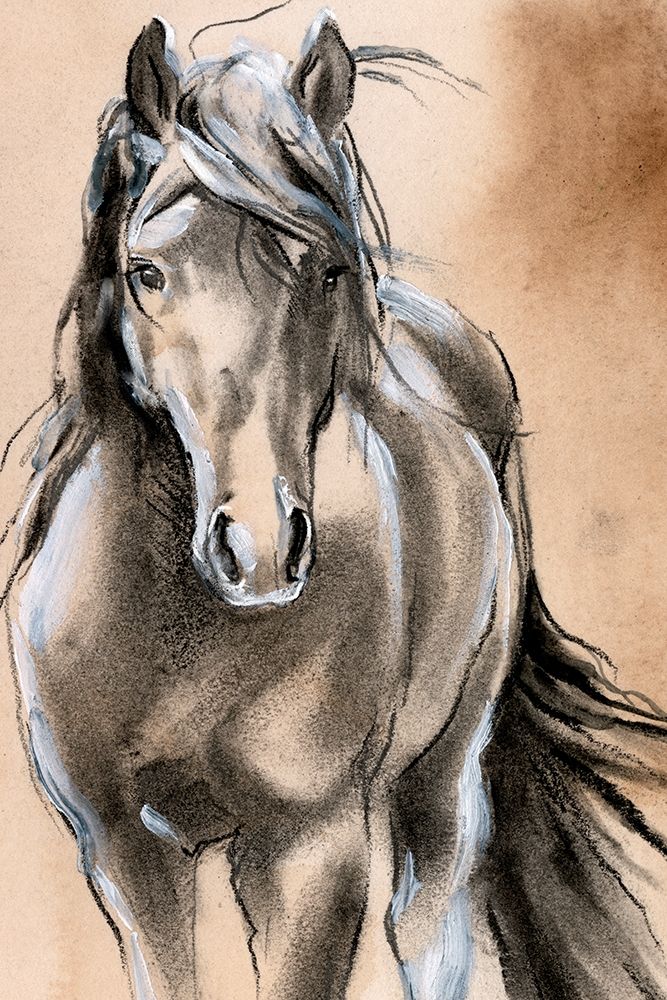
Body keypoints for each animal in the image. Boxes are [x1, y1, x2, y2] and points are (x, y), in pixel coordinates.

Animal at [3, 11, 667, 1000]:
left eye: (322, 273)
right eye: (146, 271)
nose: (259, 548)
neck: (179, 637)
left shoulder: (308, 856)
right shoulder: (126, 857)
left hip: (441, 777)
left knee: (432, 925)